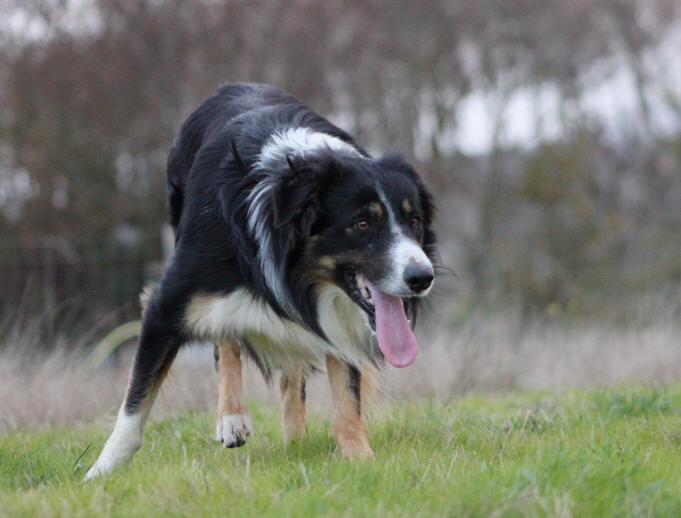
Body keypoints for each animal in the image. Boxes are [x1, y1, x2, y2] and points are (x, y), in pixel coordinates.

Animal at [86, 83, 436, 482]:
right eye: (362, 224)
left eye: (414, 220)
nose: (422, 277)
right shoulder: (167, 303)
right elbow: (136, 400)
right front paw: (100, 472)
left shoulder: (335, 317)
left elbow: (347, 394)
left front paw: (360, 460)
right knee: (225, 342)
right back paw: (232, 417)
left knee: (291, 374)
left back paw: (295, 439)